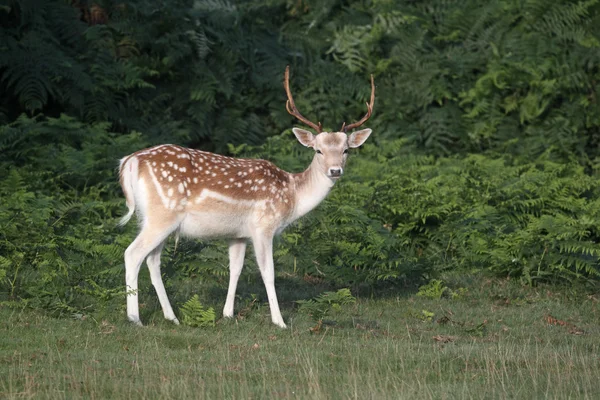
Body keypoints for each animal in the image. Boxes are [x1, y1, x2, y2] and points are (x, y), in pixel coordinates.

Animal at [118, 66, 376, 328]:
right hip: (163, 214)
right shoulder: (263, 226)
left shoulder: (238, 234)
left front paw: (228, 313)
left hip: (154, 218)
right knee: (132, 254)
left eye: (346, 150)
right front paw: (279, 322)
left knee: (152, 260)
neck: (291, 195)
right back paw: (134, 318)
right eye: (318, 150)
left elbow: (235, 269)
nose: (335, 170)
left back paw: (172, 317)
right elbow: (268, 272)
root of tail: (130, 161)